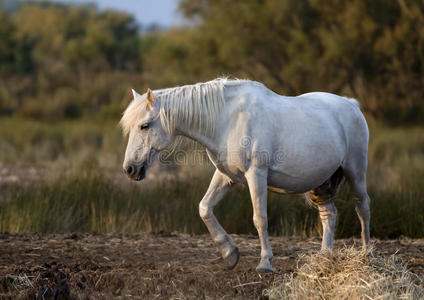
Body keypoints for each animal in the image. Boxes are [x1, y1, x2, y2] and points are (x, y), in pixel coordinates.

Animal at [120, 78, 372, 274]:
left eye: (144, 125)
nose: (129, 169)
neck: (228, 120)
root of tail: (352, 105)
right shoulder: (225, 176)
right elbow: (204, 208)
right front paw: (229, 253)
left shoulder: (256, 175)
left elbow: (259, 219)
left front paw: (265, 263)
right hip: (321, 184)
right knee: (329, 215)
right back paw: (324, 258)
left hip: (355, 172)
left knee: (363, 208)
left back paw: (366, 255)